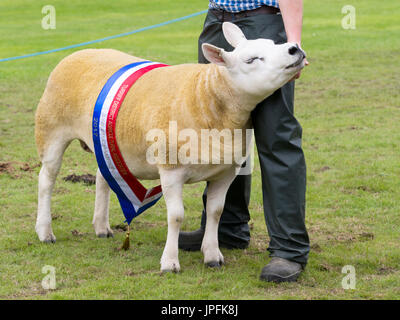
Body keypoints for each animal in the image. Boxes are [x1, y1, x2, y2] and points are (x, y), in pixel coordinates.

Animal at [36, 22, 304, 272]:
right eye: (251, 59)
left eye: (273, 43)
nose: (294, 48)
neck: (206, 98)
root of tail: (78, 53)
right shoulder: (171, 170)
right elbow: (176, 217)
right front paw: (170, 262)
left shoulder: (225, 172)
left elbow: (216, 212)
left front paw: (212, 255)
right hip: (51, 131)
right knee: (46, 180)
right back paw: (45, 231)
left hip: (106, 145)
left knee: (102, 177)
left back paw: (101, 227)